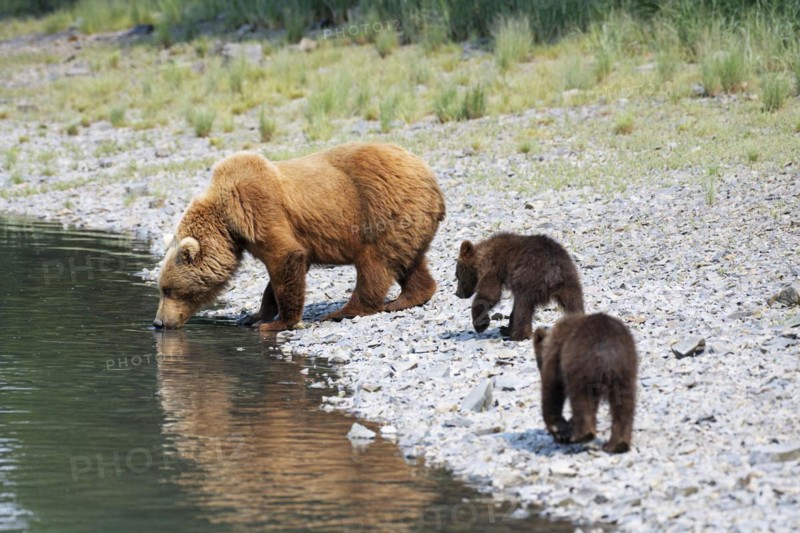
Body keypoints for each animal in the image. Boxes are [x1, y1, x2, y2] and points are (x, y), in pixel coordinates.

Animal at [153, 142, 445, 331]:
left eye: (169, 289)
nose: (158, 322)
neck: (228, 221)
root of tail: (431, 177)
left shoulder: (259, 207)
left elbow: (285, 257)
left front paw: (278, 323)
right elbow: (283, 272)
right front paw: (254, 316)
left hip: (379, 210)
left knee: (374, 264)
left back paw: (343, 311)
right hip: (406, 219)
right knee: (407, 260)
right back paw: (406, 298)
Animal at [455, 232, 584, 341]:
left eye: (457, 275)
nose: (458, 293)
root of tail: (554, 270)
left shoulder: (493, 268)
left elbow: (488, 295)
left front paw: (481, 325)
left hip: (528, 277)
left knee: (523, 307)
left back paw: (518, 335)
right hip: (570, 280)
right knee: (574, 303)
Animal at [532, 313, 638, 453]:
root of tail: (607, 347)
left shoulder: (556, 355)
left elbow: (553, 388)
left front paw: (560, 429)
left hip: (580, 363)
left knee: (580, 396)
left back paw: (582, 435)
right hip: (625, 369)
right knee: (624, 402)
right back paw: (616, 444)